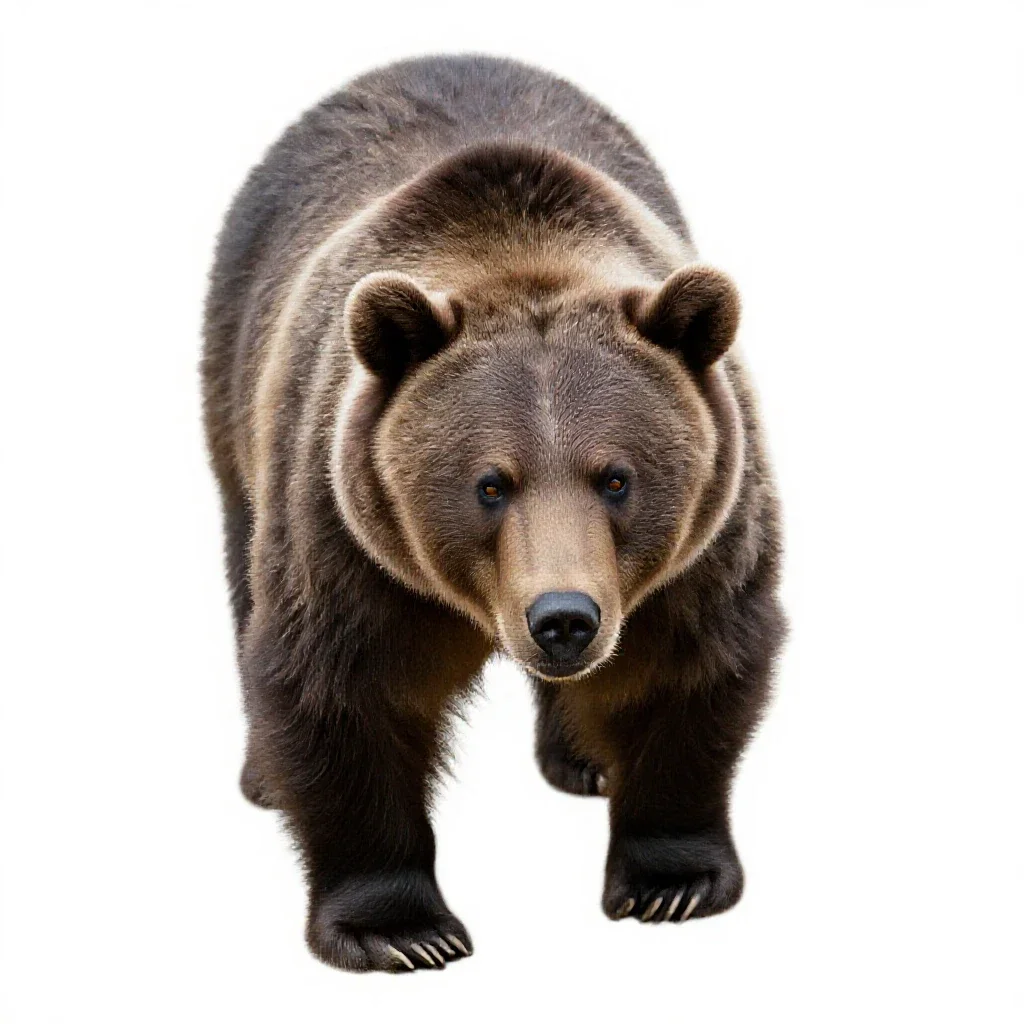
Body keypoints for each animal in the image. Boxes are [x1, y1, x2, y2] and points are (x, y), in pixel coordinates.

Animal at [202, 54, 785, 973]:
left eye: (616, 478)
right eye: (489, 483)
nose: (564, 619)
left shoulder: (703, 540)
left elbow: (684, 668)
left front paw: (671, 880)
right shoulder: (347, 530)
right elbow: (342, 688)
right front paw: (401, 928)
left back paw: (584, 761)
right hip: (237, 389)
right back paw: (264, 776)